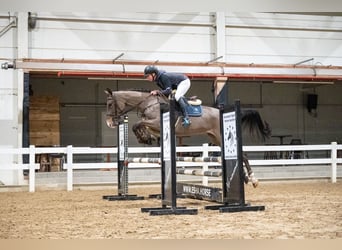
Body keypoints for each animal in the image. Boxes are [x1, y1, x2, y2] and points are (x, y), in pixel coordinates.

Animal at [105, 88, 272, 188]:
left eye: (109, 104)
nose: (109, 123)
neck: (148, 104)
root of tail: (221, 112)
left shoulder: (157, 123)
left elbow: (137, 124)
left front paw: (143, 138)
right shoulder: (156, 128)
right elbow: (141, 126)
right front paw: (145, 138)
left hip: (220, 136)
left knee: (243, 155)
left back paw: (253, 179)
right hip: (216, 139)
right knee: (240, 155)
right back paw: (246, 179)